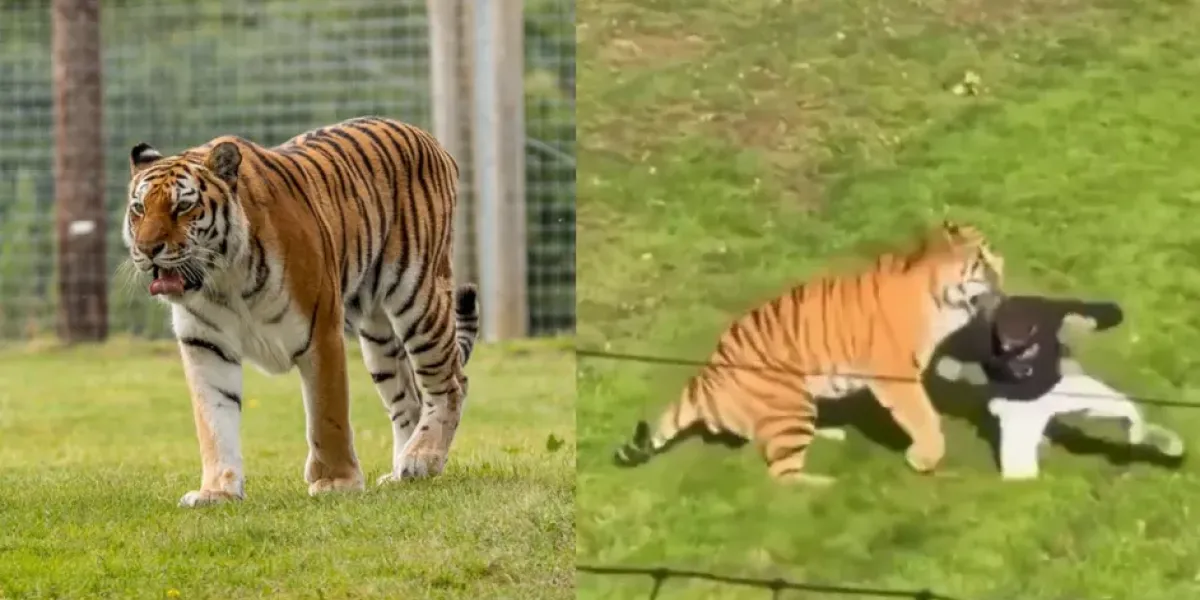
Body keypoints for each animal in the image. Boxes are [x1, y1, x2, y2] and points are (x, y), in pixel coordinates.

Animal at [122, 116, 479, 507]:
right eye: (139, 209)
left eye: (182, 207)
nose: (147, 249)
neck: (224, 278)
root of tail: (426, 137)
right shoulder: (205, 345)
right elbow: (214, 422)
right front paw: (217, 491)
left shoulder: (321, 330)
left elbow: (327, 415)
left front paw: (336, 482)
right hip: (377, 334)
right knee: (409, 401)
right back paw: (401, 472)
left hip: (418, 296)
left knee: (450, 382)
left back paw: (422, 458)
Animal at [613, 220, 1005, 485]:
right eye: (984, 262)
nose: (1003, 277)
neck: (938, 299)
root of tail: (704, 376)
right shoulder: (896, 376)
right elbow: (923, 415)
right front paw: (925, 458)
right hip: (789, 403)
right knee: (782, 475)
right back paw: (829, 486)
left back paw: (830, 435)